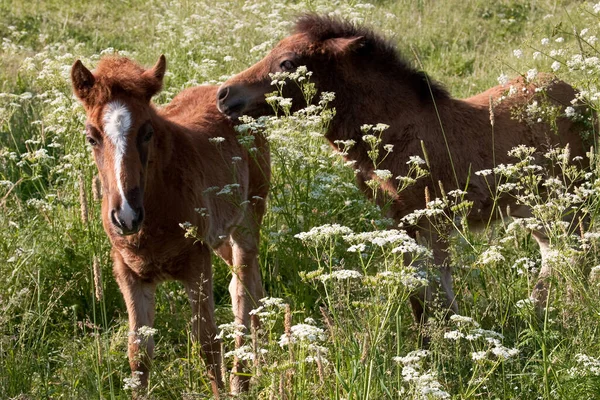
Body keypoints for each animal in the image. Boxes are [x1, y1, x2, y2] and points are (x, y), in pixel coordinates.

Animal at [70, 54, 270, 396]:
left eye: (147, 132)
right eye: (91, 137)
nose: (127, 216)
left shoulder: (197, 261)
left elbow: (207, 343)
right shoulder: (128, 272)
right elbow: (138, 353)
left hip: (248, 217)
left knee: (243, 294)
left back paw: (240, 381)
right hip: (221, 236)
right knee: (248, 286)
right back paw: (255, 370)